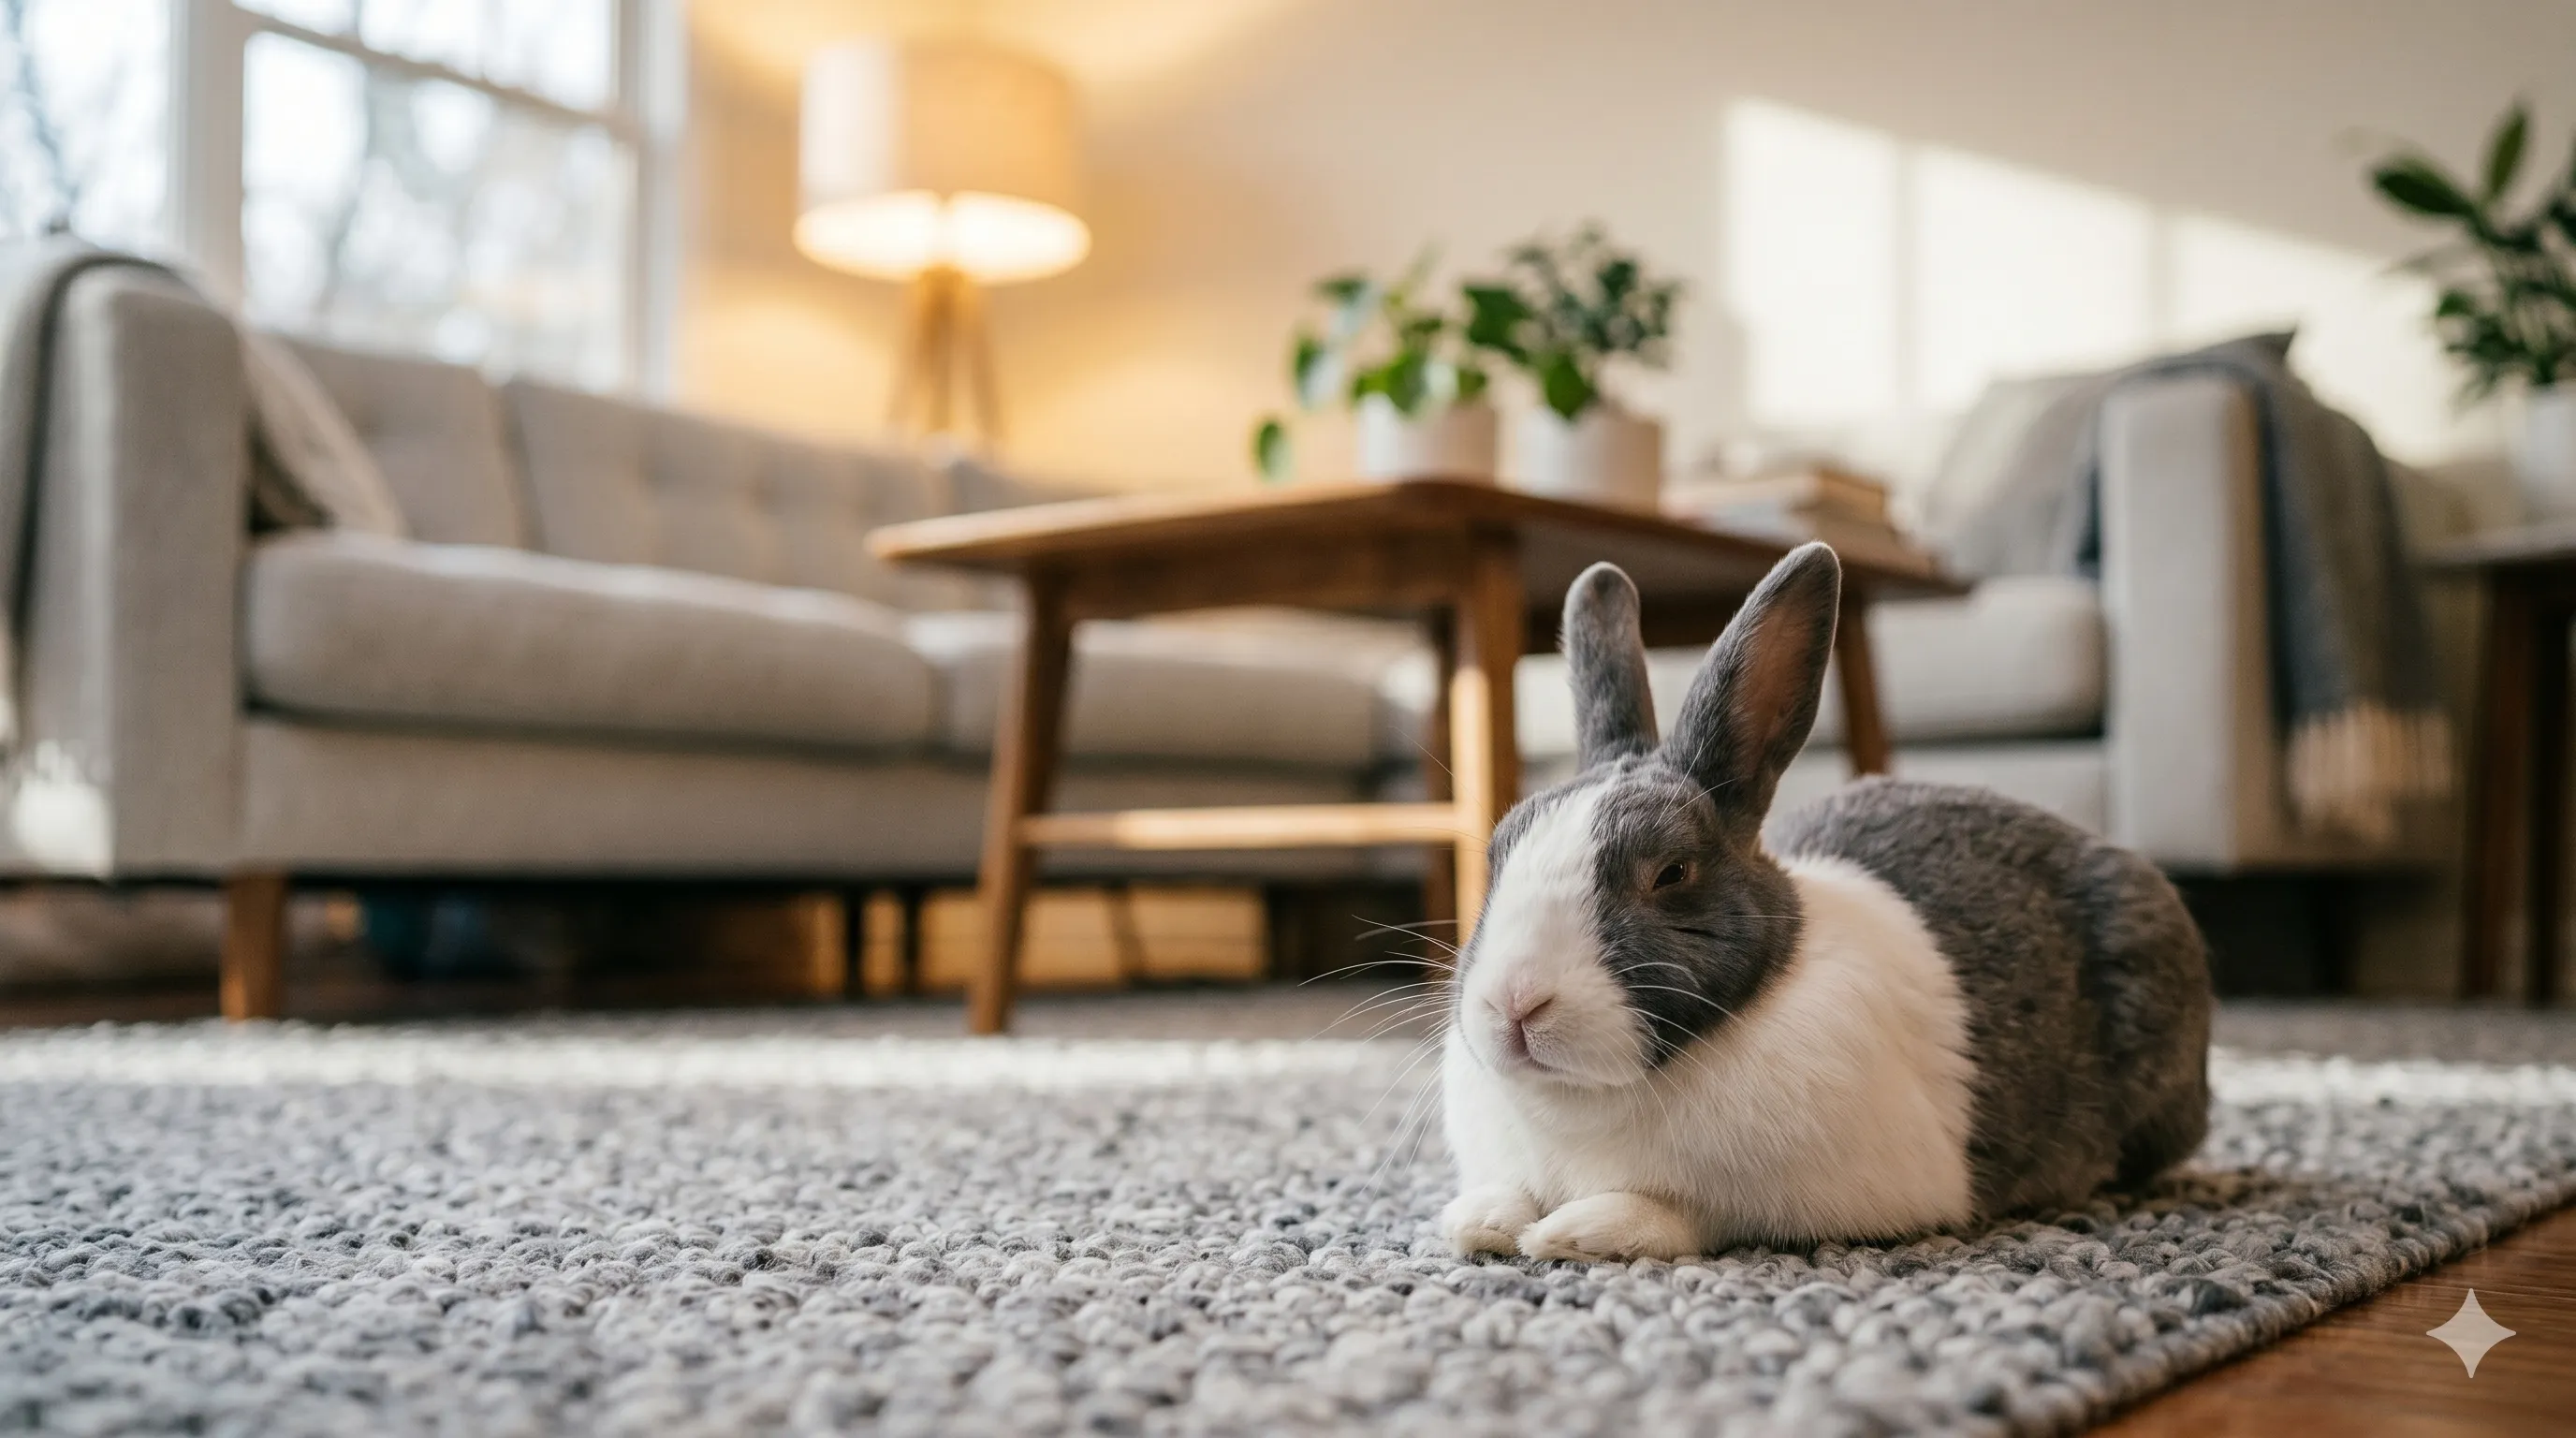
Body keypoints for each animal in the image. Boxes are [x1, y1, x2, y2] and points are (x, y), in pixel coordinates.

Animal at [1439, 542, 2211, 1263]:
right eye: (1498, 854)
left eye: (1671, 872)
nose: (1515, 1004)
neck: (1582, 1100)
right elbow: (1504, 1192)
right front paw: (1478, 1221)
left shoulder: (1790, 1201)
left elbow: (1687, 1212)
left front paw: (1578, 1231)